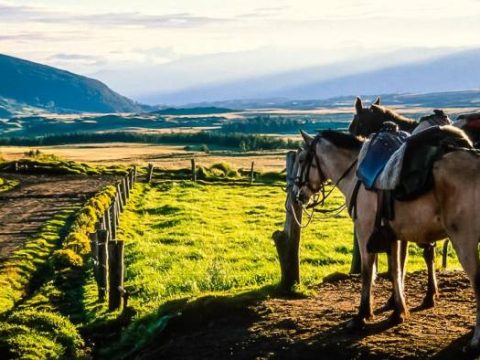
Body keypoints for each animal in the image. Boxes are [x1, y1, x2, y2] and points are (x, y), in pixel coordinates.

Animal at [294, 129, 480, 348]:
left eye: (301, 159)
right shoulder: (393, 236)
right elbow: (396, 271)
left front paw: (362, 316)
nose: (299, 195)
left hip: (464, 242)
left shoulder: (364, 231)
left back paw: (476, 339)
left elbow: (368, 273)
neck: (354, 174)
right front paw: (398, 312)